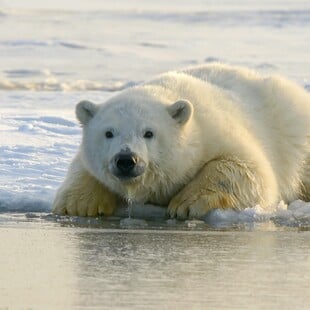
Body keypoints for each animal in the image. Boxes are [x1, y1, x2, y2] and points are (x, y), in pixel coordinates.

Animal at [52, 63, 310, 218]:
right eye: (109, 133)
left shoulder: (218, 131)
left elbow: (250, 170)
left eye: (148, 133)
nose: (126, 160)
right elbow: (82, 167)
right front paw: (80, 204)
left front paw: (186, 203)